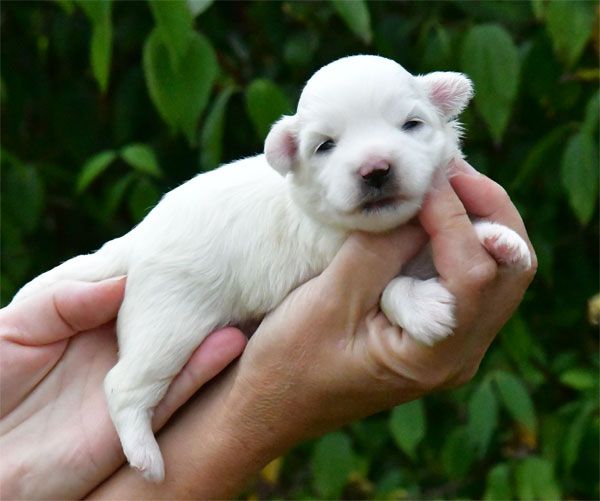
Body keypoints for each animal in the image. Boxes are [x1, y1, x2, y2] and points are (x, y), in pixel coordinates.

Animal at [11, 54, 528, 480]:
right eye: (325, 146)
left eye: (412, 124)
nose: (375, 170)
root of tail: (136, 237)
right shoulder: (327, 264)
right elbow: (388, 285)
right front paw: (420, 306)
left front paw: (498, 239)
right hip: (168, 324)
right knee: (122, 384)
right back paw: (145, 455)